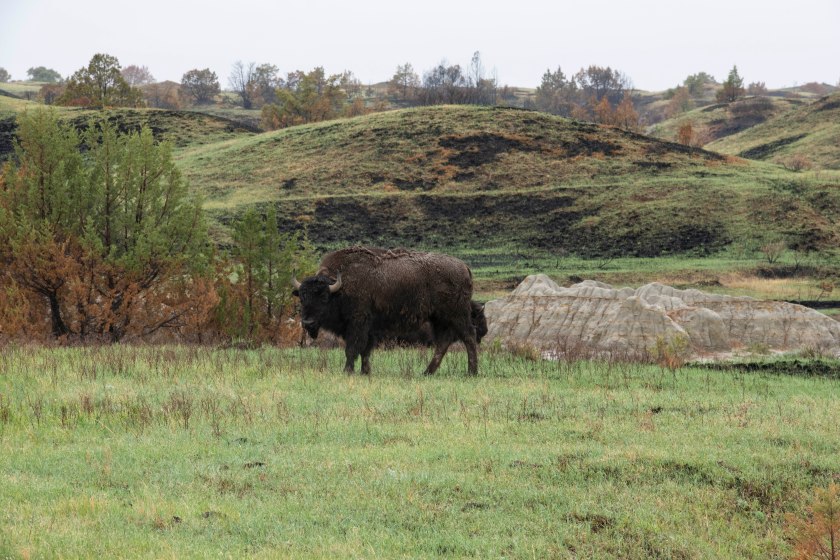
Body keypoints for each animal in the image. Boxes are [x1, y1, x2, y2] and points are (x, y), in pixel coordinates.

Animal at [292, 247, 480, 375]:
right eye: (302, 297)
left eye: (324, 297)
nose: (307, 322)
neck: (340, 288)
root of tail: (464, 267)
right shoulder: (369, 328)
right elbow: (365, 350)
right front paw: (365, 371)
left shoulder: (357, 323)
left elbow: (352, 348)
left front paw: (347, 371)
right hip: (439, 319)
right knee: (443, 342)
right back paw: (427, 372)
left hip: (457, 315)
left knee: (468, 337)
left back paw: (471, 372)